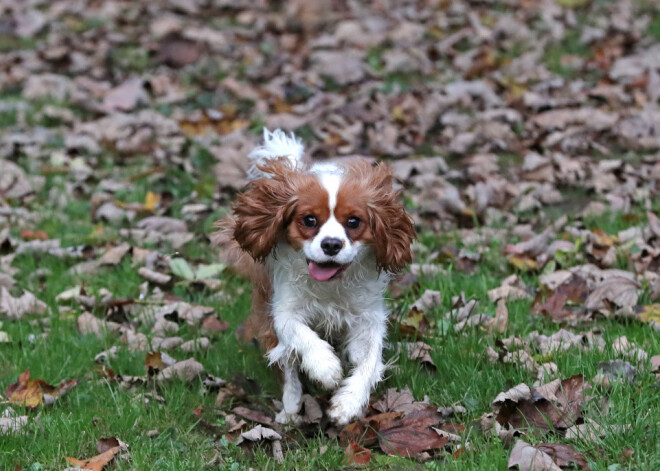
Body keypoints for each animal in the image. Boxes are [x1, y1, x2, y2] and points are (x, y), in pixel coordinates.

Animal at [214, 130, 416, 428]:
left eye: (354, 222)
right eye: (309, 220)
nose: (331, 244)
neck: (330, 286)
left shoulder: (368, 318)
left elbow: (368, 361)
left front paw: (347, 404)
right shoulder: (282, 311)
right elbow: (302, 335)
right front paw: (326, 368)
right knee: (287, 366)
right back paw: (291, 408)